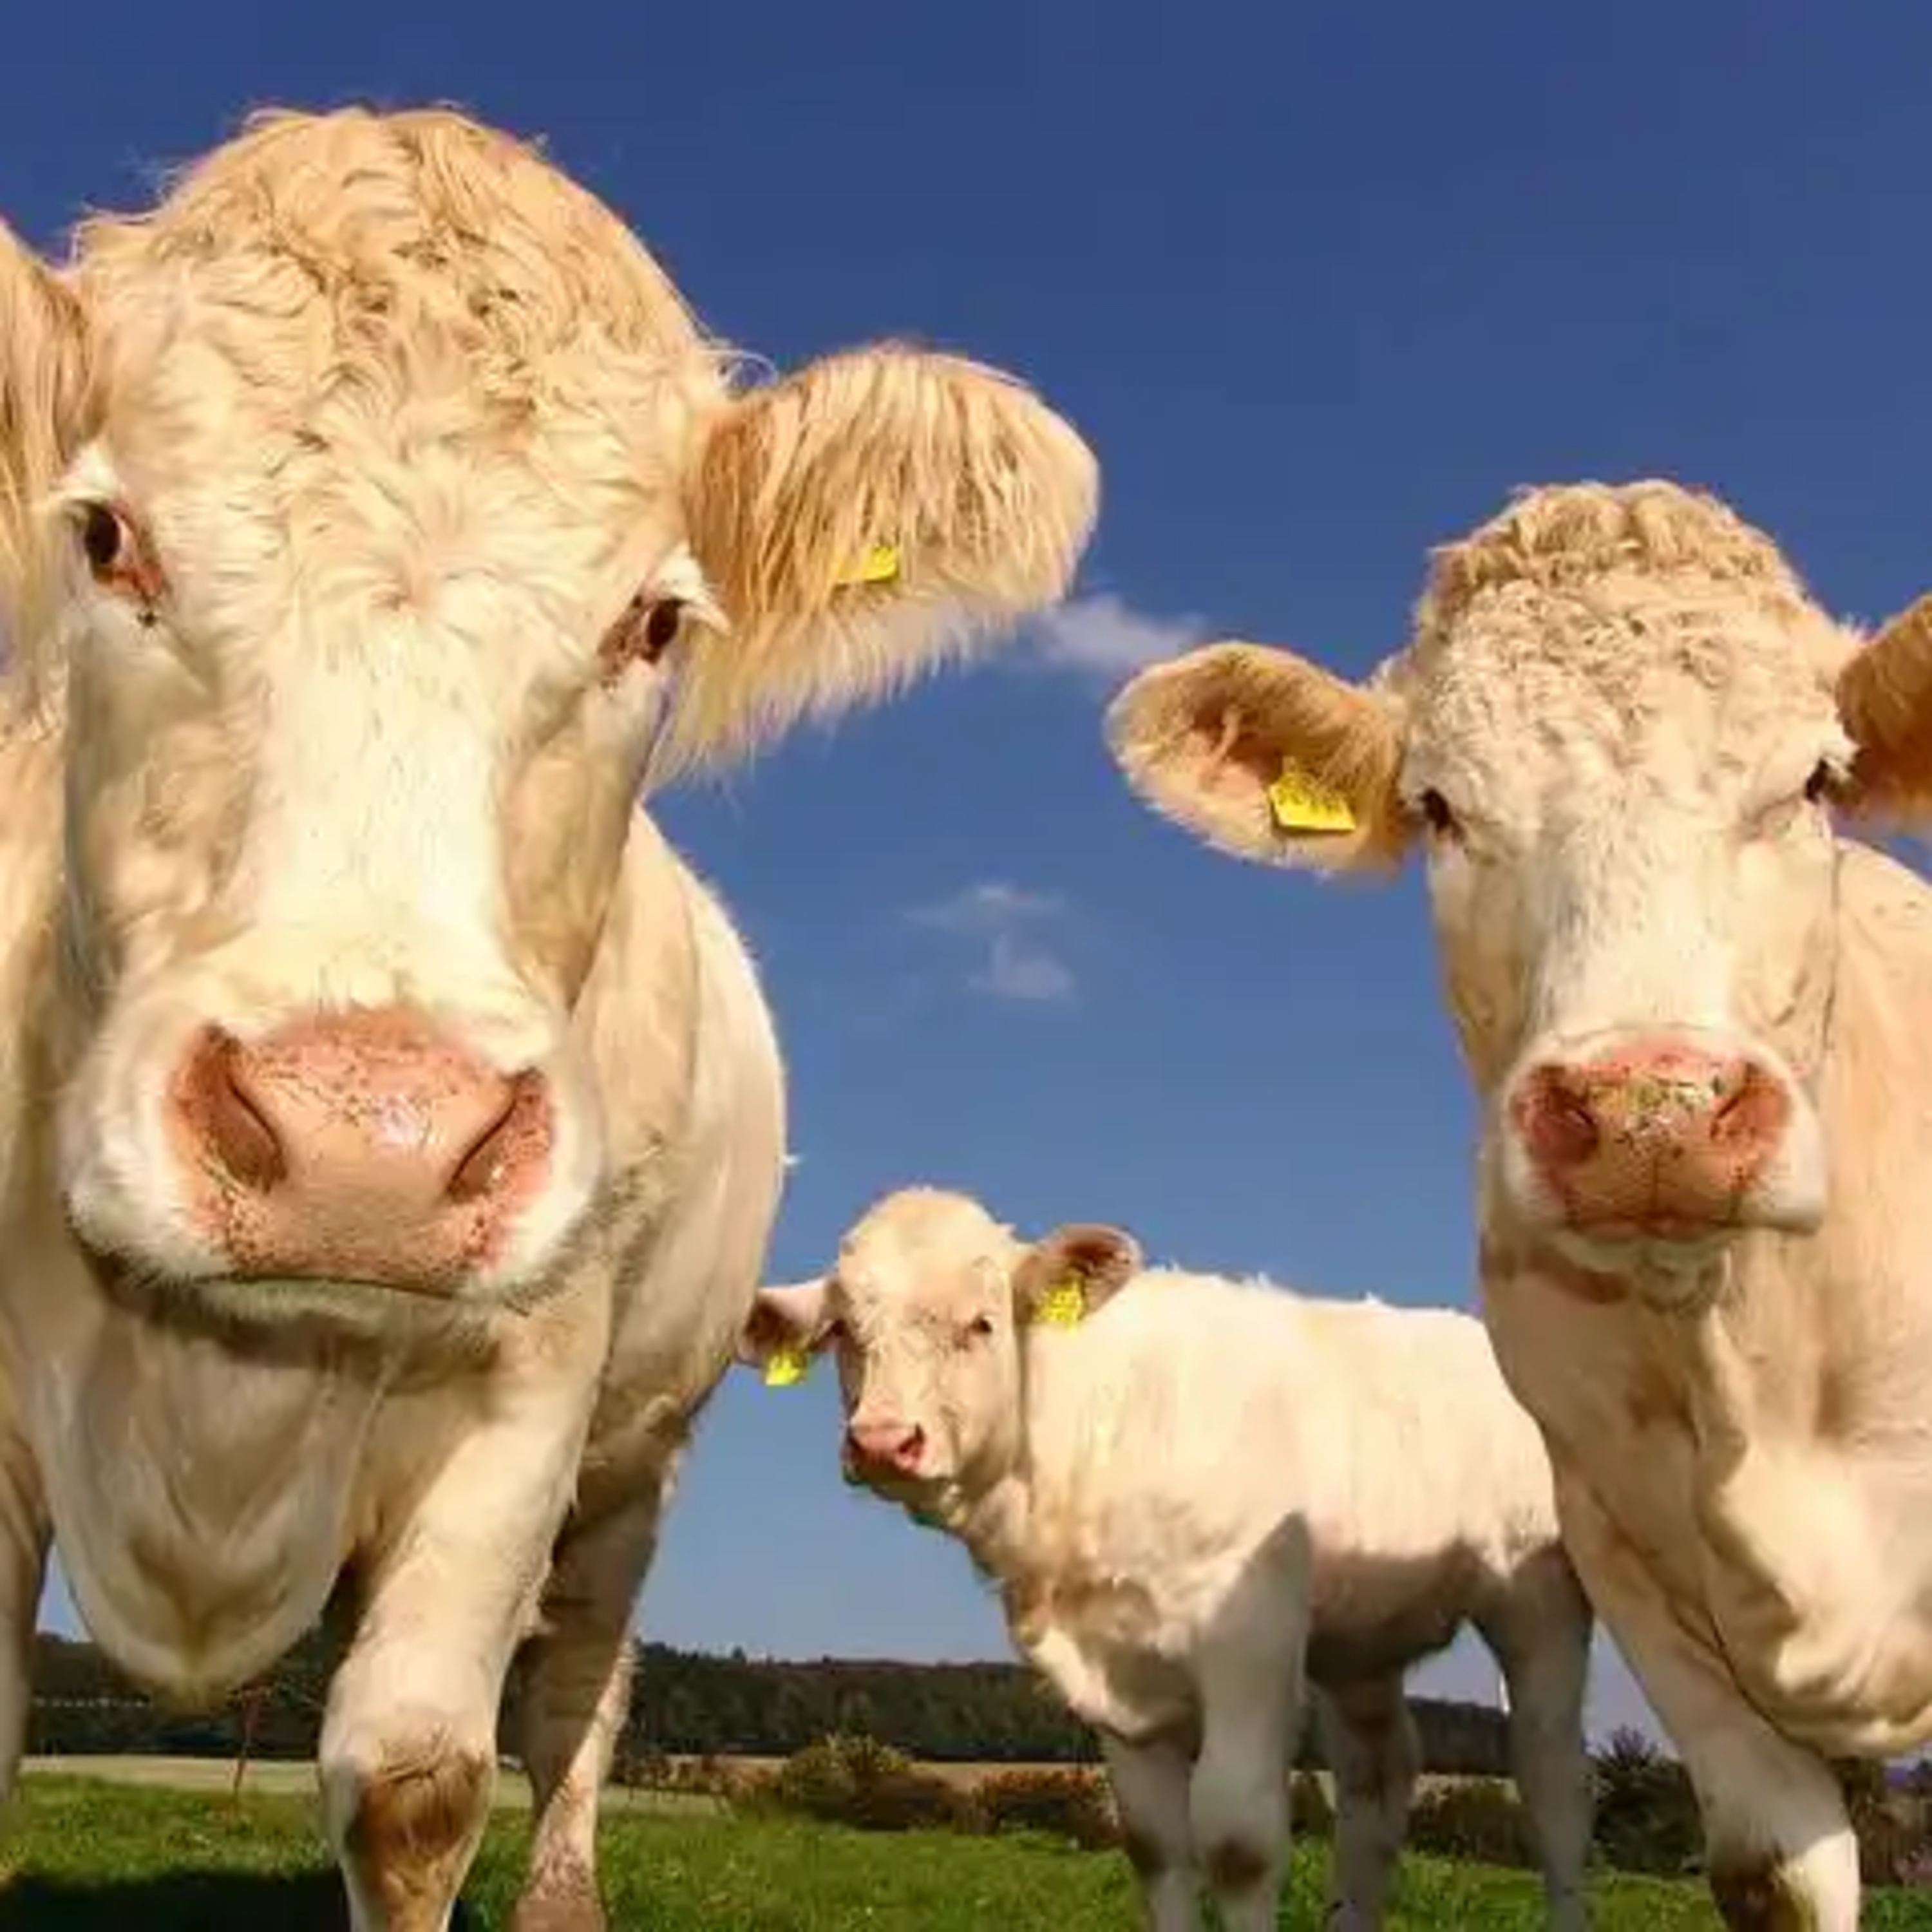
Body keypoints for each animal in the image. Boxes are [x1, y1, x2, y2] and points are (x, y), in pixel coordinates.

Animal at [0, 104, 1097, 1930]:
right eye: (106, 538)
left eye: (653, 620)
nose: (364, 1146)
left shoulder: (531, 1389)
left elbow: (418, 1778)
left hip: (637, 1456)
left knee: (577, 1682)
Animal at [738, 1185, 1595, 1932]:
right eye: (844, 1332)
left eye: (981, 1324)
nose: (883, 1441)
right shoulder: (1116, 1681)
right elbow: (1157, 1849)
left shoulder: (1251, 1639)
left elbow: (1239, 1843)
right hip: (1360, 1641)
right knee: (1378, 1785)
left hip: (1540, 1599)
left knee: (1553, 1786)